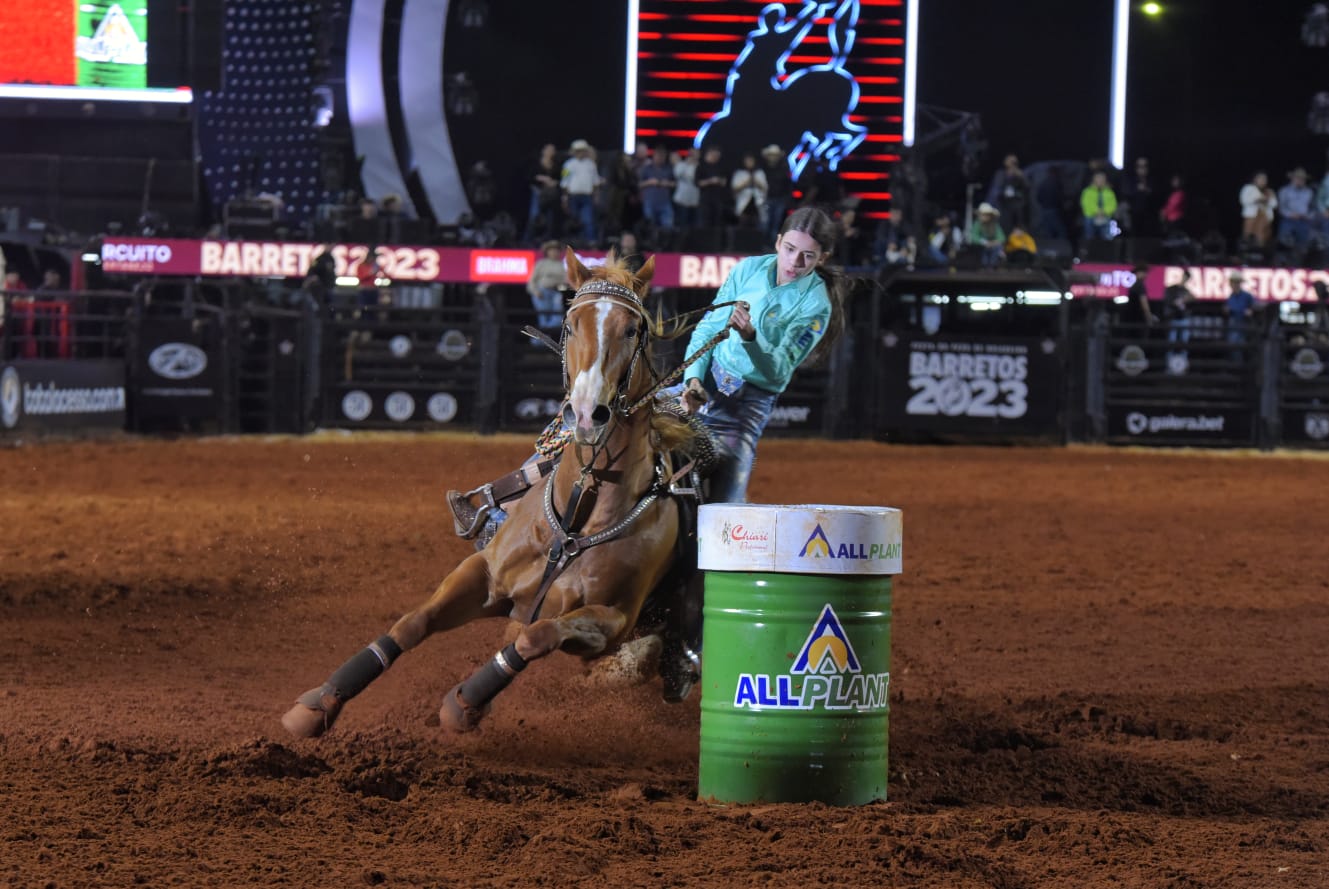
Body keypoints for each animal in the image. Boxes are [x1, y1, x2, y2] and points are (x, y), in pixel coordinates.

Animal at [280, 248, 696, 733]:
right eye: (571, 324)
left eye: (631, 329)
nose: (586, 413)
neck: (579, 518)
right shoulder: (484, 572)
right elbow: (412, 623)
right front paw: (320, 702)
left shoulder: (611, 622)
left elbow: (535, 636)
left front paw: (465, 702)